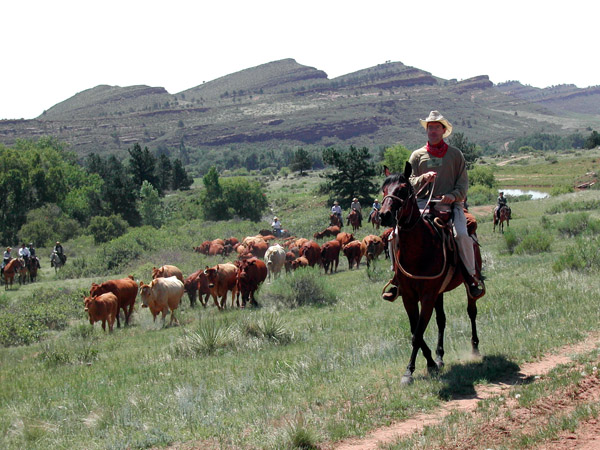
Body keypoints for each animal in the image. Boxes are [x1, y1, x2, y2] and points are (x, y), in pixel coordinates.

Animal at [382, 163, 486, 384]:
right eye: (383, 189)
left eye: (402, 190)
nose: (384, 215)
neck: (419, 249)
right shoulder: (409, 296)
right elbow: (416, 331)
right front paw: (429, 362)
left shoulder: (428, 295)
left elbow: (417, 333)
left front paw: (410, 370)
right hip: (440, 292)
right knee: (441, 320)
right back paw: (439, 356)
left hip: (466, 283)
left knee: (471, 310)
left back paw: (474, 348)